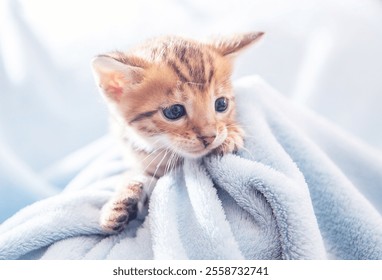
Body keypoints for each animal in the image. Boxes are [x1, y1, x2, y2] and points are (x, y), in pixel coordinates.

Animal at [92, 30, 264, 233]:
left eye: (221, 104)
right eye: (174, 111)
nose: (209, 137)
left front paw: (230, 135)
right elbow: (135, 173)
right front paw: (118, 202)